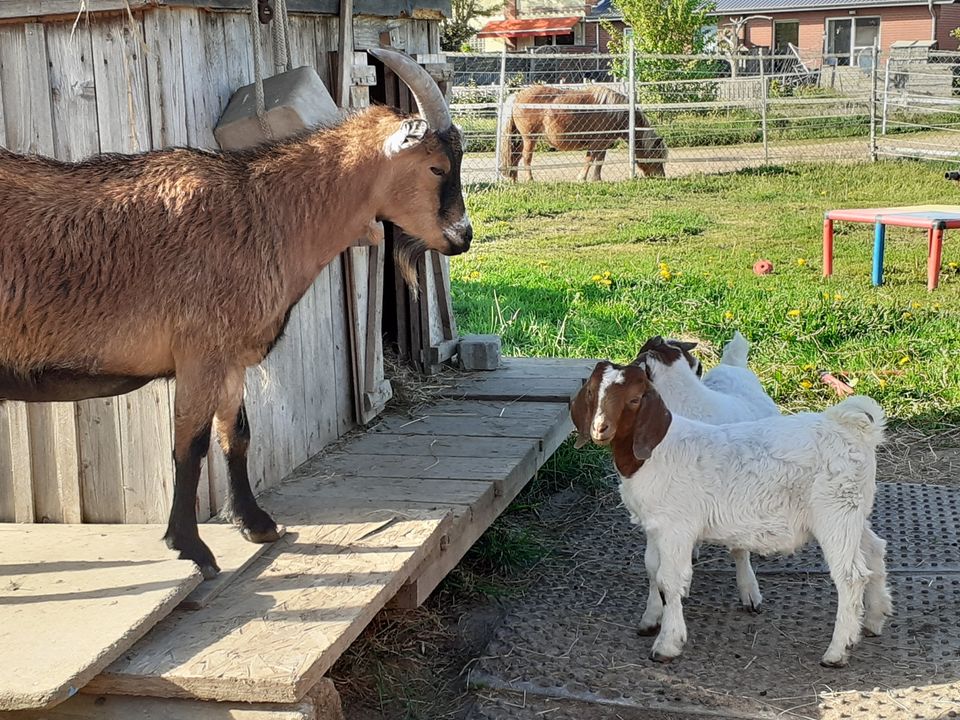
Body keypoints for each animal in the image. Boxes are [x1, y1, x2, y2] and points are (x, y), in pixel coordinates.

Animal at [0, 49, 472, 580]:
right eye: (435, 167)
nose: (463, 237)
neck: (263, 213)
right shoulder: (199, 352)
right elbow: (189, 446)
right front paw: (192, 548)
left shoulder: (229, 359)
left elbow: (238, 434)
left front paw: (257, 524)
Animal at [502, 85, 668, 183]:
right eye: (657, 156)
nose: (661, 176)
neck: (617, 112)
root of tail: (517, 96)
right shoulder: (597, 143)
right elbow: (590, 159)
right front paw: (582, 178)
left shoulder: (603, 144)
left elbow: (599, 161)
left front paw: (597, 179)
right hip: (530, 138)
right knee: (526, 157)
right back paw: (530, 179)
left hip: (520, 138)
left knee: (515, 156)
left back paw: (514, 180)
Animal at [568, 366, 892, 668]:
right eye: (592, 393)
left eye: (635, 399)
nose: (600, 428)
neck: (655, 452)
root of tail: (850, 426)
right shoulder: (653, 526)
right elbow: (651, 569)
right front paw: (650, 618)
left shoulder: (676, 528)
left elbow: (670, 579)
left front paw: (667, 643)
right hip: (855, 509)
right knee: (875, 549)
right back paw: (874, 620)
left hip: (834, 512)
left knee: (851, 576)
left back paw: (838, 650)